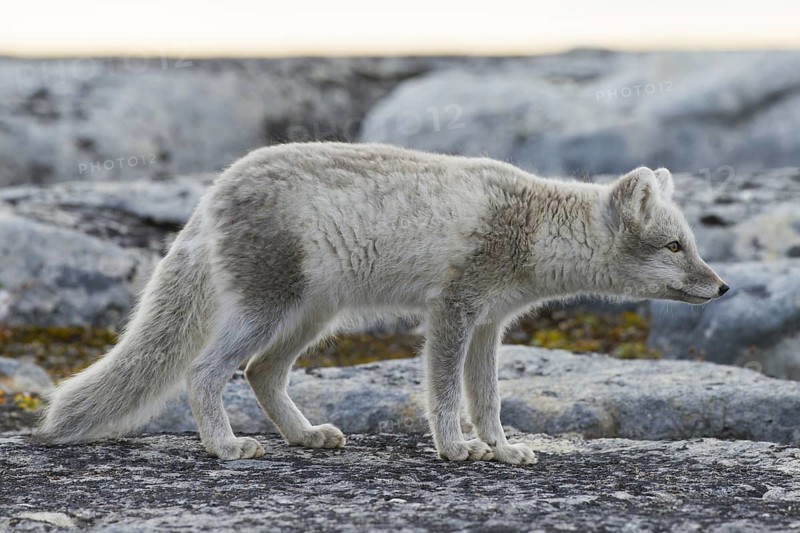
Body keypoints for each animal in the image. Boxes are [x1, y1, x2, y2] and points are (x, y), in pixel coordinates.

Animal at [37, 142, 729, 465]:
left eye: (692, 244)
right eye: (674, 246)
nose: (724, 288)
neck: (533, 226)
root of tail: (212, 192)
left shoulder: (490, 326)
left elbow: (487, 399)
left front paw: (502, 448)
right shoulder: (453, 310)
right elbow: (445, 394)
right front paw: (455, 448)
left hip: (312, 318)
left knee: (261, 373)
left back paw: (305, 436)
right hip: (268, 310)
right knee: (205, 371)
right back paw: (227, 447)